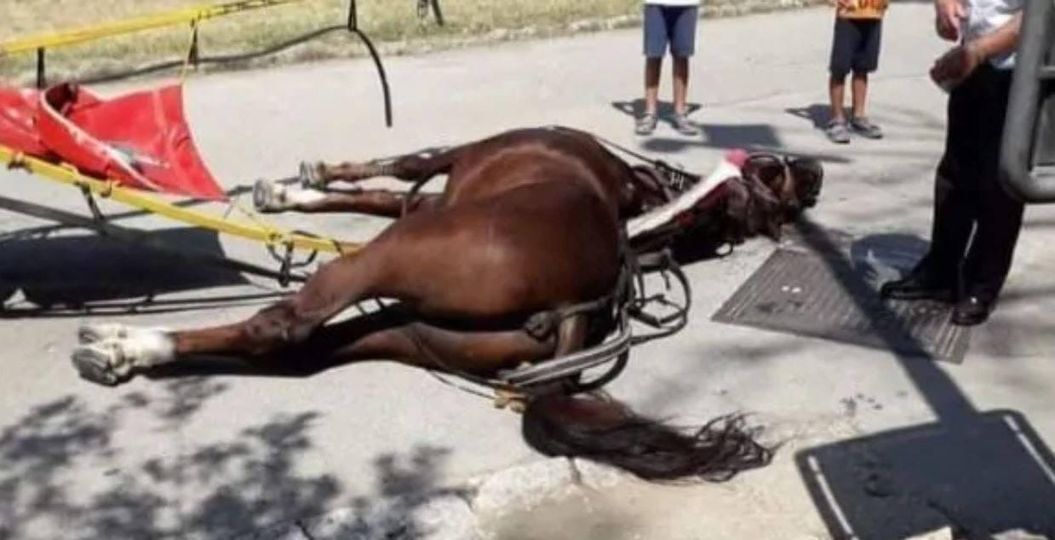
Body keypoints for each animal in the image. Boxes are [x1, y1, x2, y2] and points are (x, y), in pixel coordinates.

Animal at [71, 126, 822, 482]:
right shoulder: (439, 195)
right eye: (778, 174)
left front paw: (299, 186)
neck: (640, 202)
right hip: (408, 330)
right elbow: (379, 192)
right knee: (306, 352)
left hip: (387, 257)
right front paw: (292, 194)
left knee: (282, 325)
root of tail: (573, 305)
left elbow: (399, 168)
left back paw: (126, 346)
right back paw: (132, 352)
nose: (814, 171)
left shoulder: (450, 167)